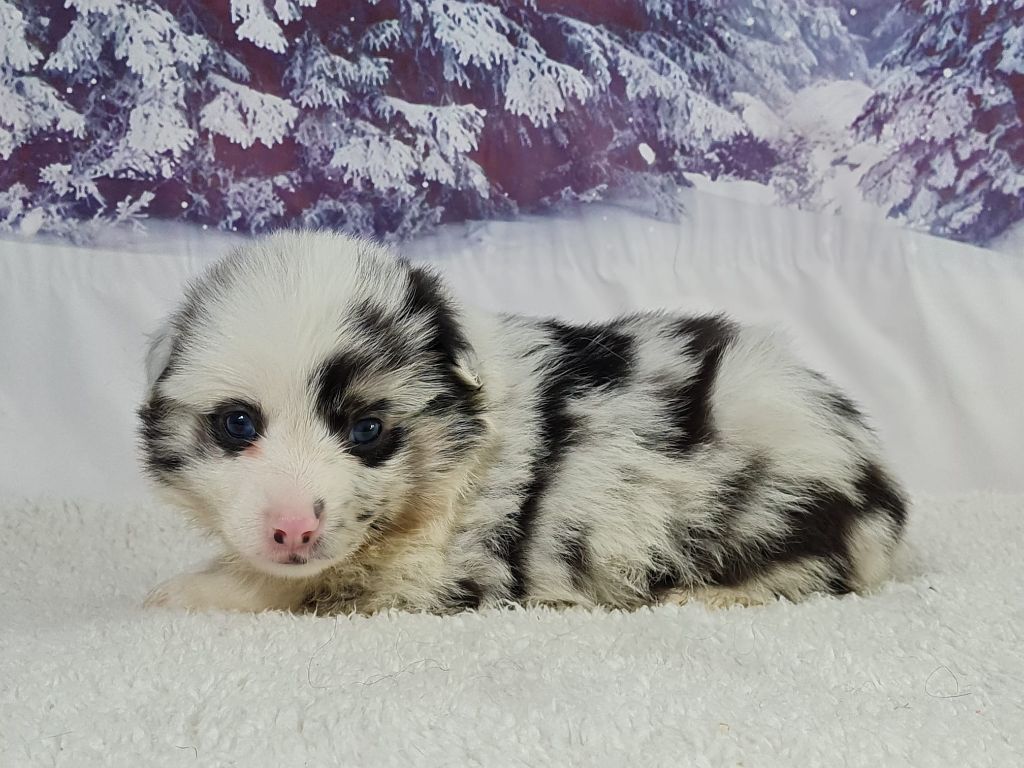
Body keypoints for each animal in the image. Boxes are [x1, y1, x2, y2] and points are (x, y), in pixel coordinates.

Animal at [139, 231, 907, 614]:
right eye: (238, 424)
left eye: (367, 431)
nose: (294, 529)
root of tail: (880, 494)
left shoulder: (426, 565)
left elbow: (294, 583)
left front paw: (190, 591)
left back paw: (704, 596)